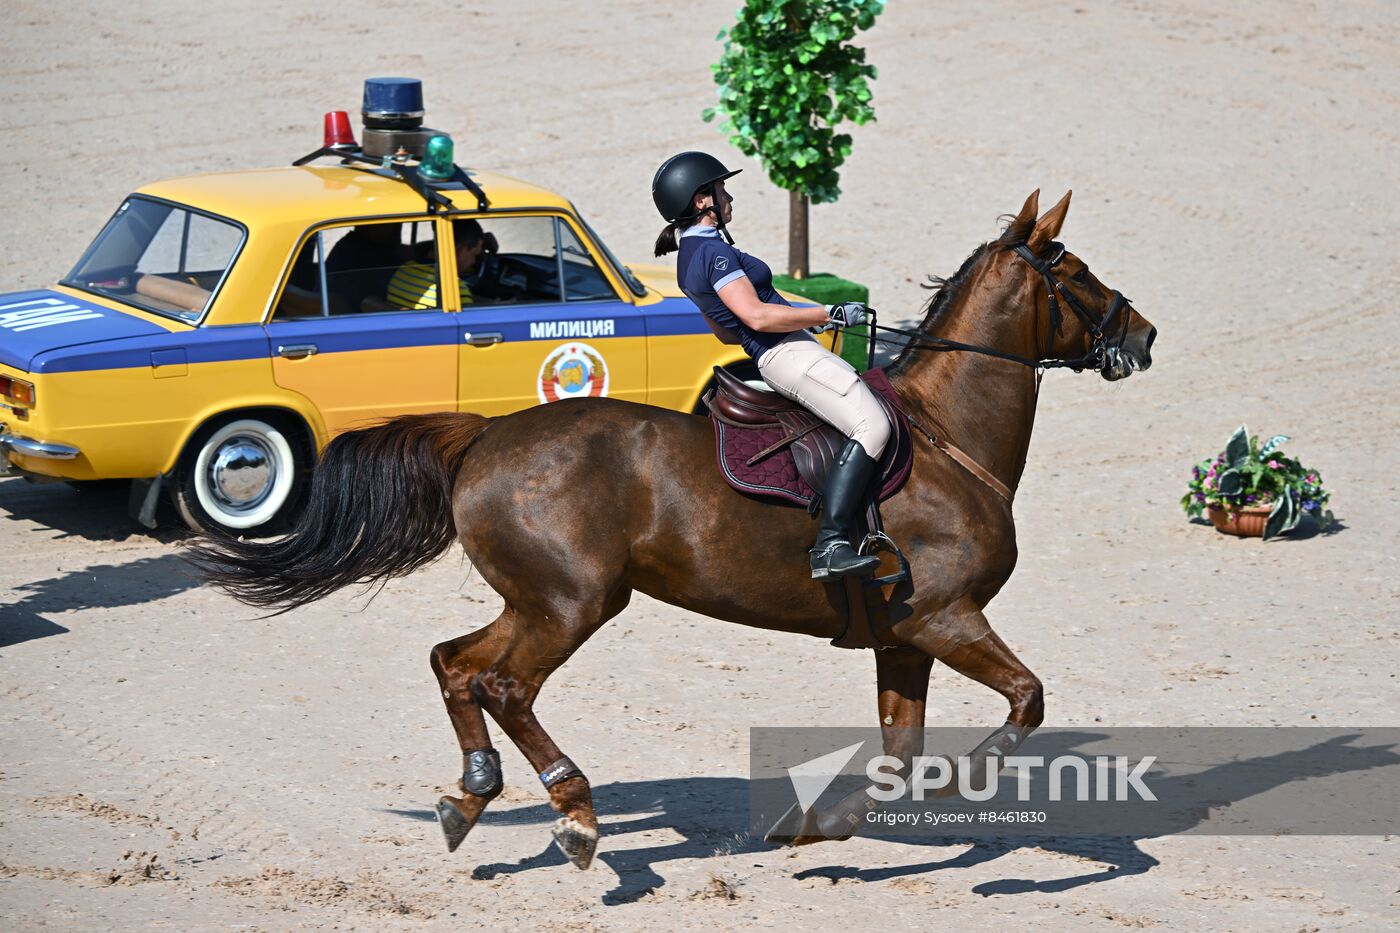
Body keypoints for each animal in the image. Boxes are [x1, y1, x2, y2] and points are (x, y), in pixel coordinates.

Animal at [197, 189, 1159, 862]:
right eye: (1076, 274)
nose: (1144, 336)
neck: (948, 437)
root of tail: (486, 435)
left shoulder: (904, 633)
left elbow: (900, 753)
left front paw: (819, 824)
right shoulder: (945, 616)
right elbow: (1024, 701)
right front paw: (962, 782)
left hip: (540, 598)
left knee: (457, 664)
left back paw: (471, 795)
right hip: (576, 603)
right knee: (504, 684)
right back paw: (575, 814)